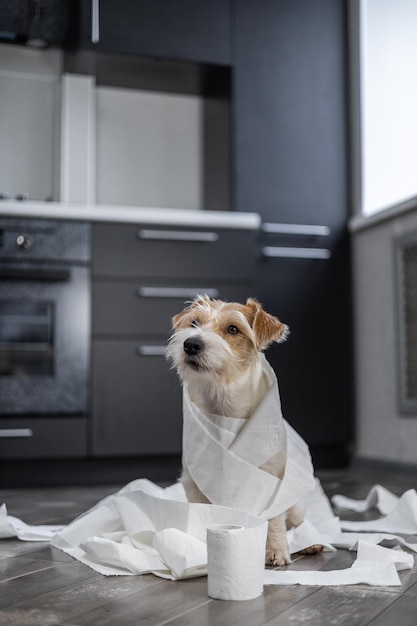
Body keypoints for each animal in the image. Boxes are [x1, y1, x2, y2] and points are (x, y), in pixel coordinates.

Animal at [166, 294, 318, 564]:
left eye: (233, 329)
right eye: (194, 323)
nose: (191, 344)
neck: (223, 407)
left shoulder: (272, 480)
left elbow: (274, 520)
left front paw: (276, 550)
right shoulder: (194, 483)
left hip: (296, 501)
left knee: (297, 519)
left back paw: (311, 542)